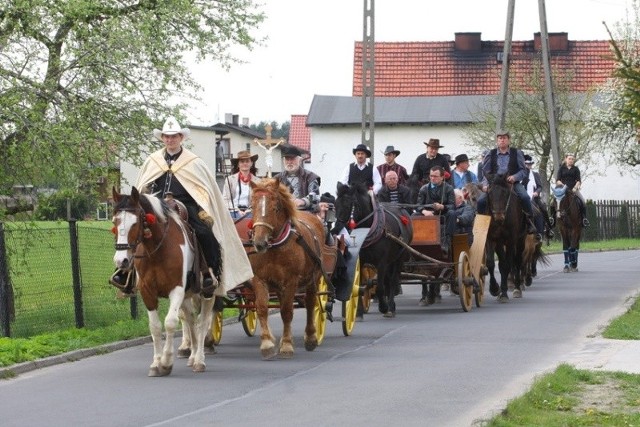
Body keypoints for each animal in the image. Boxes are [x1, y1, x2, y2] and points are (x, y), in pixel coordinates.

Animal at [112, 189, 215, 376]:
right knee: (190, 318)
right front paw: (156, 363)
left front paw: (166, 362)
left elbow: (170, 323)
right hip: (187, 295)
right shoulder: (147, 292)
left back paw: (199, 360)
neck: (157, 250)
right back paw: (192, 355)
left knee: (203, 321)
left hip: (208, 293)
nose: (121, 260)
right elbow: (155, 326)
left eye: (135, 223)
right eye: (114, 221)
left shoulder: (177, 290)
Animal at [248, 179, 330, 360]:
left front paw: (286, 345)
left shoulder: (292, 281)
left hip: (313, 278)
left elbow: (287, 312)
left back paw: (310, 337)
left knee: (310, 303)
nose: (259, 243)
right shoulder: (259, 279)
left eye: (275, 208)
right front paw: (267, 344)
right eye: (252, 206)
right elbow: (262, 308)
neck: (275, 247)